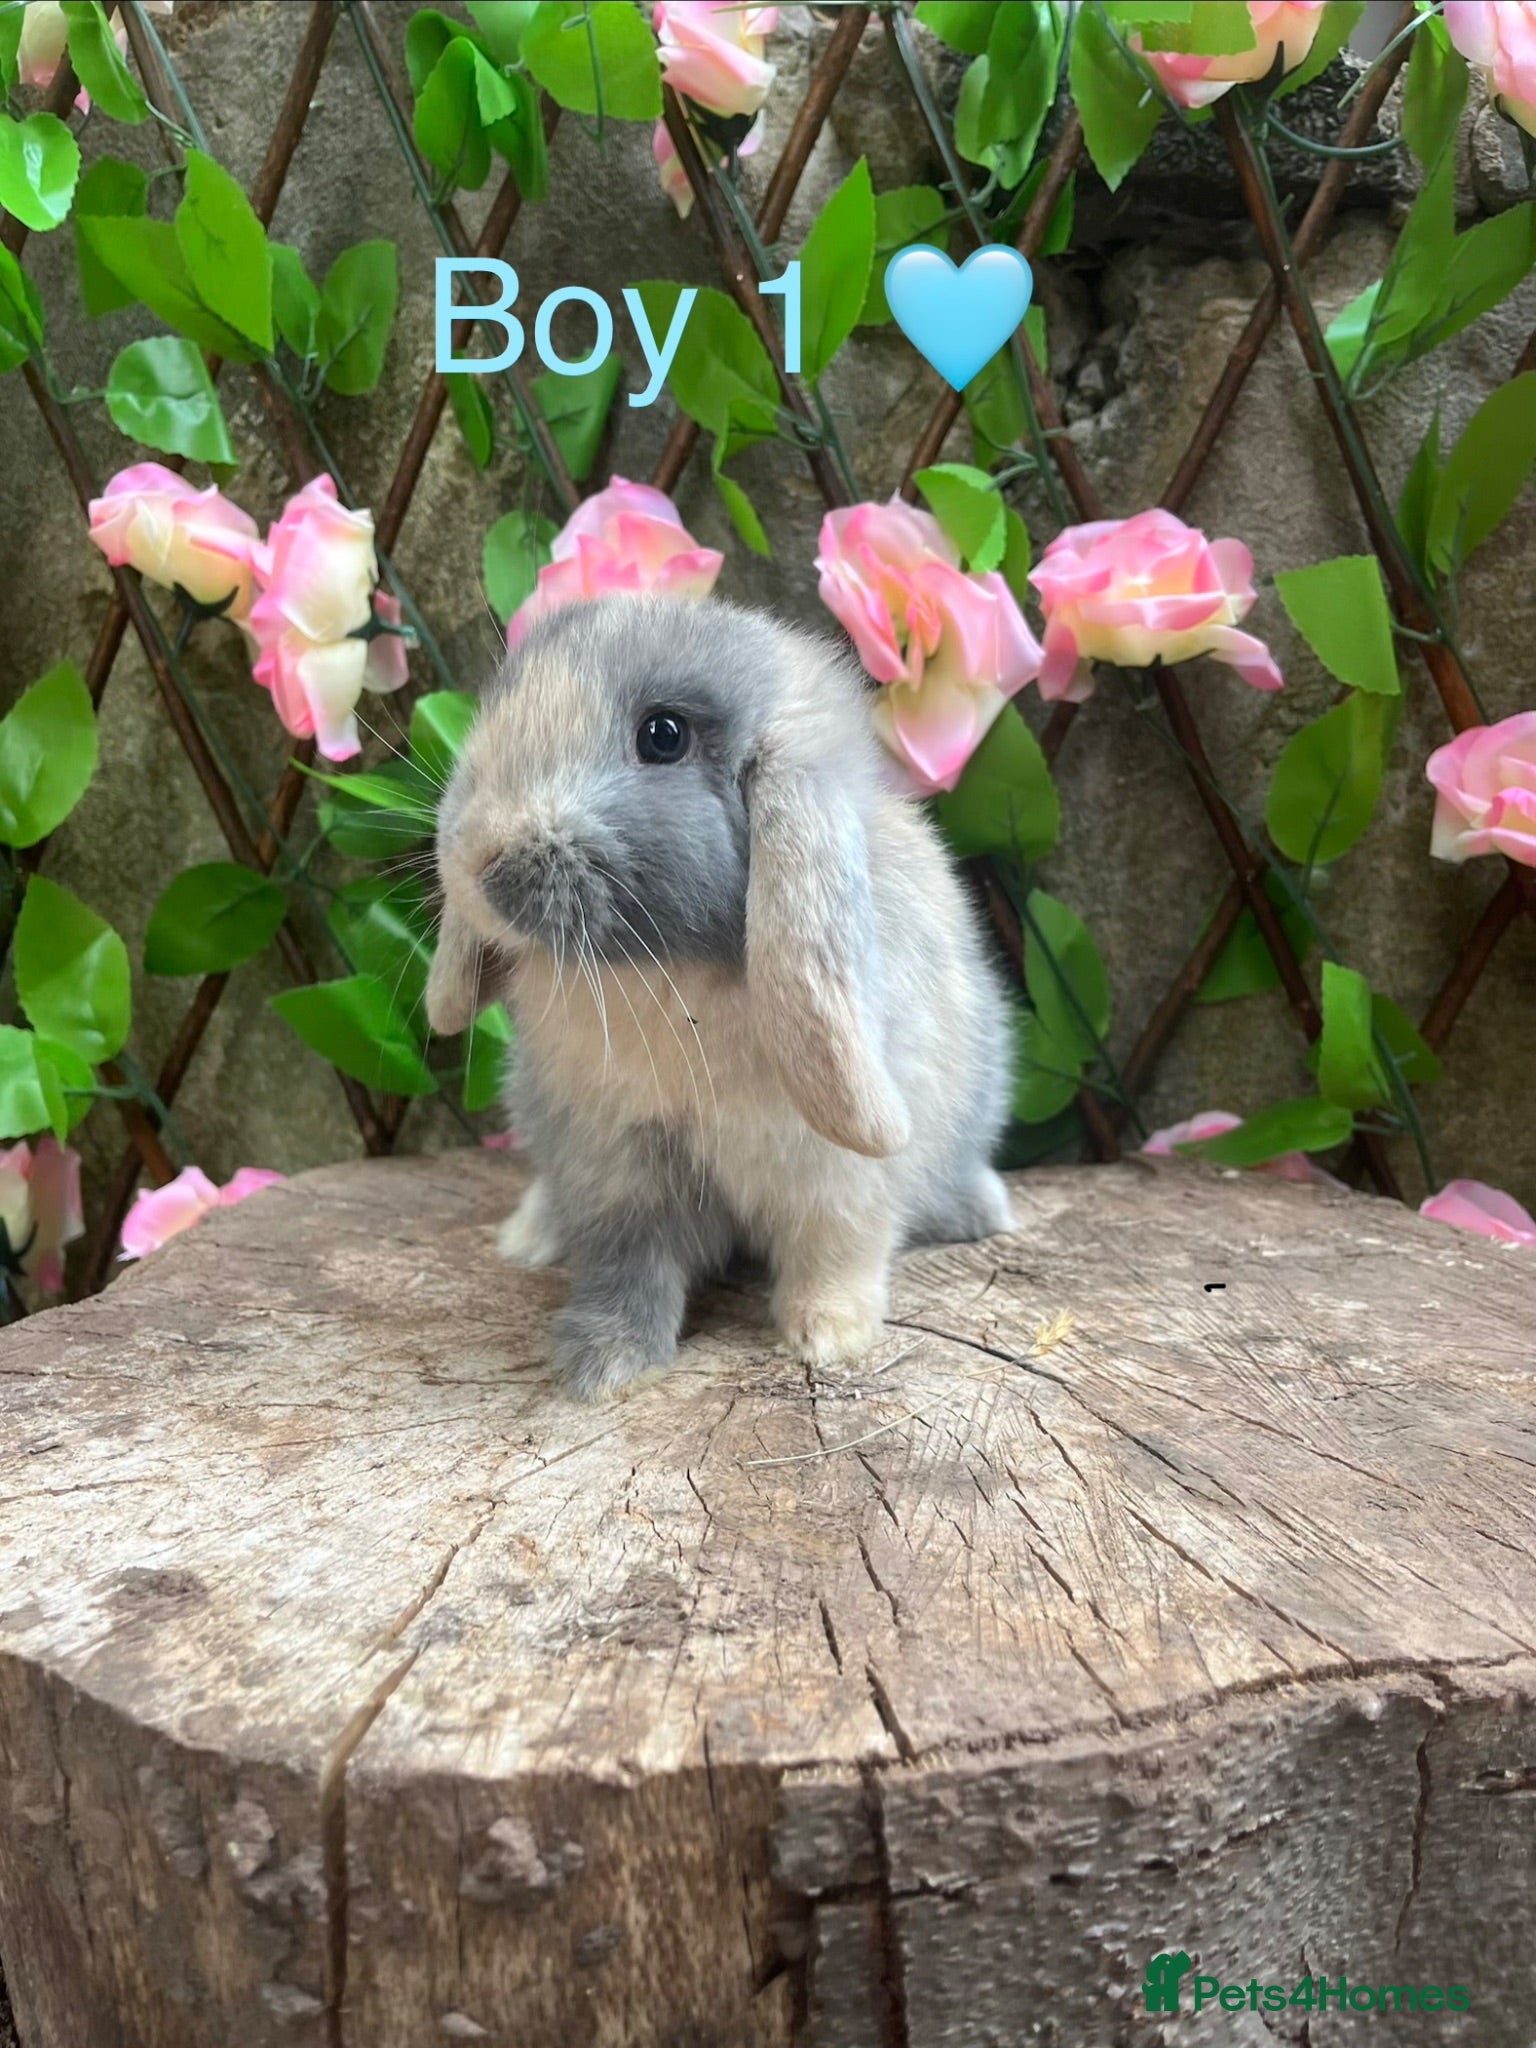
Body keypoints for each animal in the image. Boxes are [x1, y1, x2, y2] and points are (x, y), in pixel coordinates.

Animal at [426, 593, 1015, 1400]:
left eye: (663, 735)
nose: (480, 859)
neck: (669, 971)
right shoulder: (616, 1163)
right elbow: (625, 1264)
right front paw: (606, 1363)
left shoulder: (834, 1178)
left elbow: (836, 1250)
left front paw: (828, 1337)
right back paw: (529, 1236)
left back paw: (983, 1211)